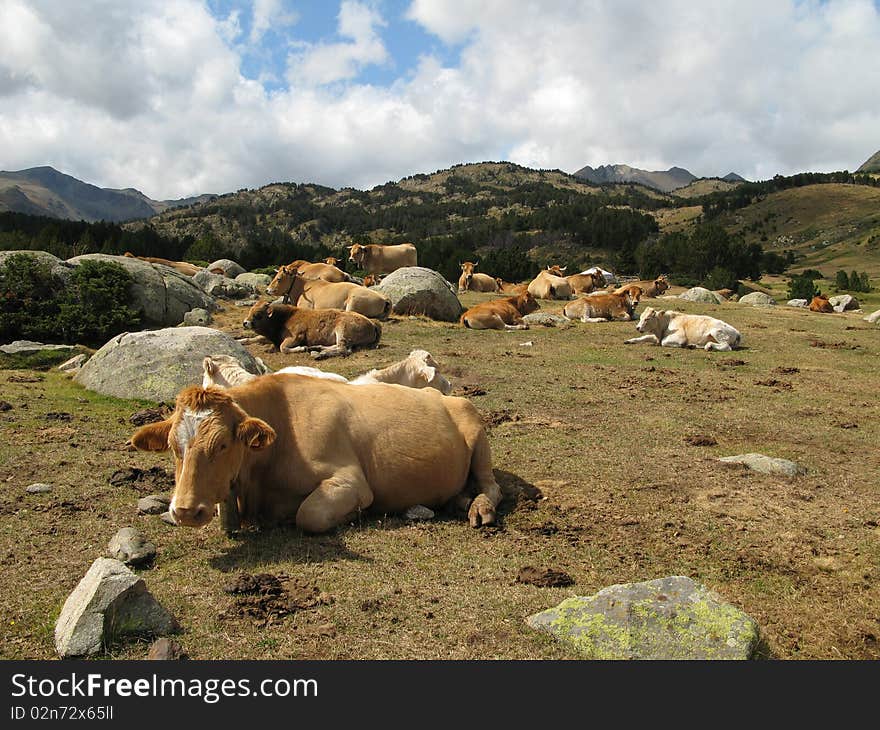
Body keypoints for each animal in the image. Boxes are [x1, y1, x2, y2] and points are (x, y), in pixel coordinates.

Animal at [130, 378, 502, 528]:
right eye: (173, 447)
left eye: (222, 444)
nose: (185, 511)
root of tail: (438, 393)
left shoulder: (351, 481)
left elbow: (308, 515)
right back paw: (459, 501)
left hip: (477, 431)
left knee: (492, 486)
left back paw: (479, 507)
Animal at [242, 300, 380, 360]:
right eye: (250, 311)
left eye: (258, 314)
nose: (245, 323)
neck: (285, 318)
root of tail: (372, 323)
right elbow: (255, 338)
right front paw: (241, 341)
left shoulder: (295, 337)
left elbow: (283, 348)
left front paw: (302, 348)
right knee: (341, 348)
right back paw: (316, 348)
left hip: (342, 331)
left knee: (343, 349)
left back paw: (318, 354)